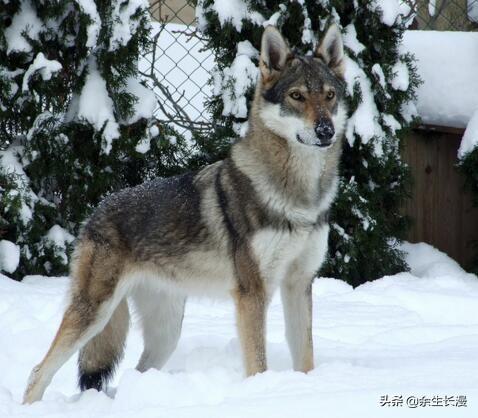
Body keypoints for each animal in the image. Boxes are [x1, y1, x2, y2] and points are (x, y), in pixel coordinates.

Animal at [23, 24, 348, 404]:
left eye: (329, 96)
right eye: (297, 96)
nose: (326, 131)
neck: (300, 195)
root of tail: (95, 213)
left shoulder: (298, 283)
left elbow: (305, 357)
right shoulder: (252, 293)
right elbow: (258, 363)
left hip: (165, 332)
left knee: (137, 371)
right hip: (95, 314)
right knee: (38, 372)